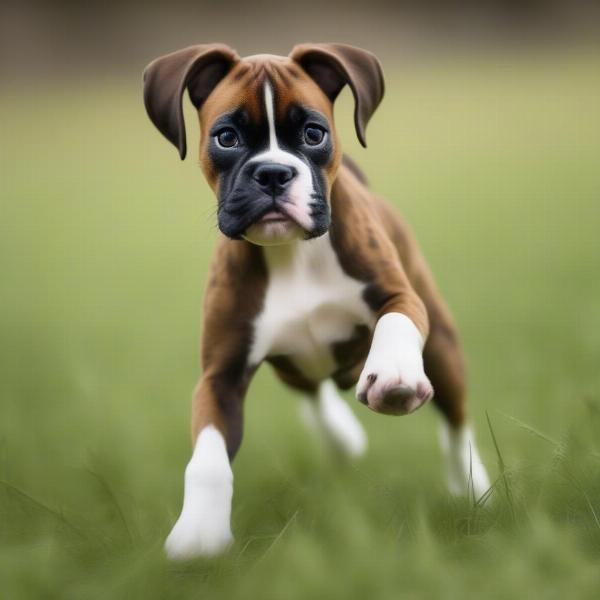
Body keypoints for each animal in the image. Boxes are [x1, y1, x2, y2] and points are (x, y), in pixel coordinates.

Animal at [143, 41, 490, 556]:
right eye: (226, 138)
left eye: (313, 133)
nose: (272, 173)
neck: (292, 254)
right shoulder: (220, 377)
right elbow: (206, 457)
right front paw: (199, 532)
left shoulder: (399, 296)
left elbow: (395, 322)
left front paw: (394, 373)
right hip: (292, 367)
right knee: (314, 388)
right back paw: (343, 437)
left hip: (443, 349)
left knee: (456, 423)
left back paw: (474, 489)